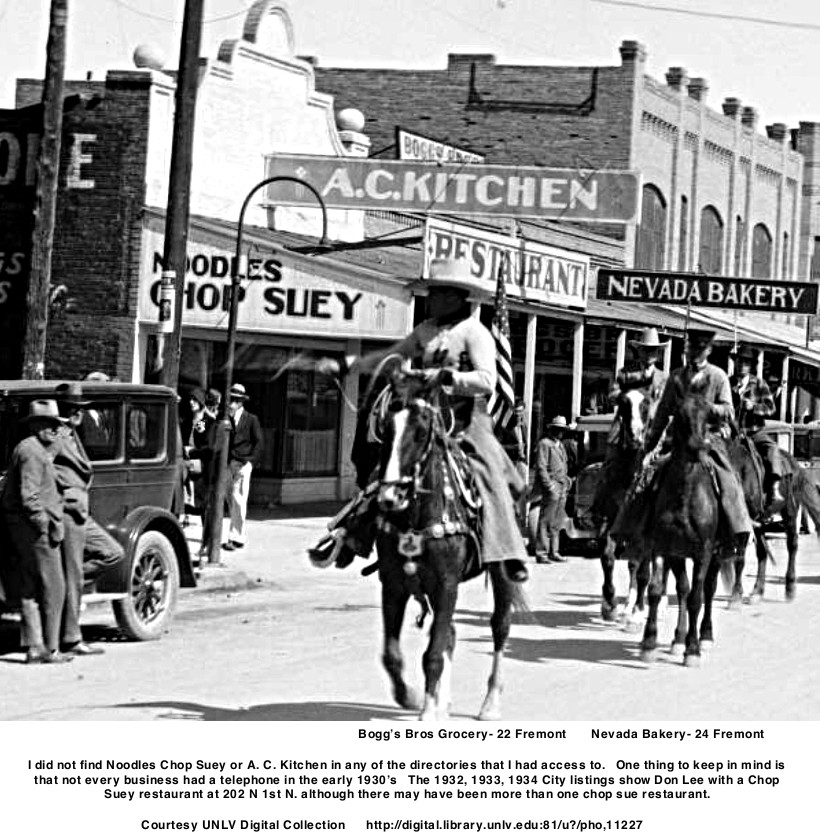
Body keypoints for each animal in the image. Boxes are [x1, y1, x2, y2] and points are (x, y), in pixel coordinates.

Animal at [374, 372, 524, 720]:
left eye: (420, 431)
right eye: (386, 427)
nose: (390, 497)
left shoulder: (446, 585)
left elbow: (432, 653)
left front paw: (427, 710)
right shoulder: (393, 585)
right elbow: (392, 654)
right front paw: (413, 697)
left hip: (502, 573)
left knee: (500, 627)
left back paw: (490, 703)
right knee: (451, 636)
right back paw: (444, 701)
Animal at [724, 428, 820, 604]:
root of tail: (795, 464)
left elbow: (739, 557)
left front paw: (735, 595)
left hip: (790, 512)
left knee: (792, 545)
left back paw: (790, 587)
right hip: (760, 522)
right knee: (762, 552)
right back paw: (758, 591)